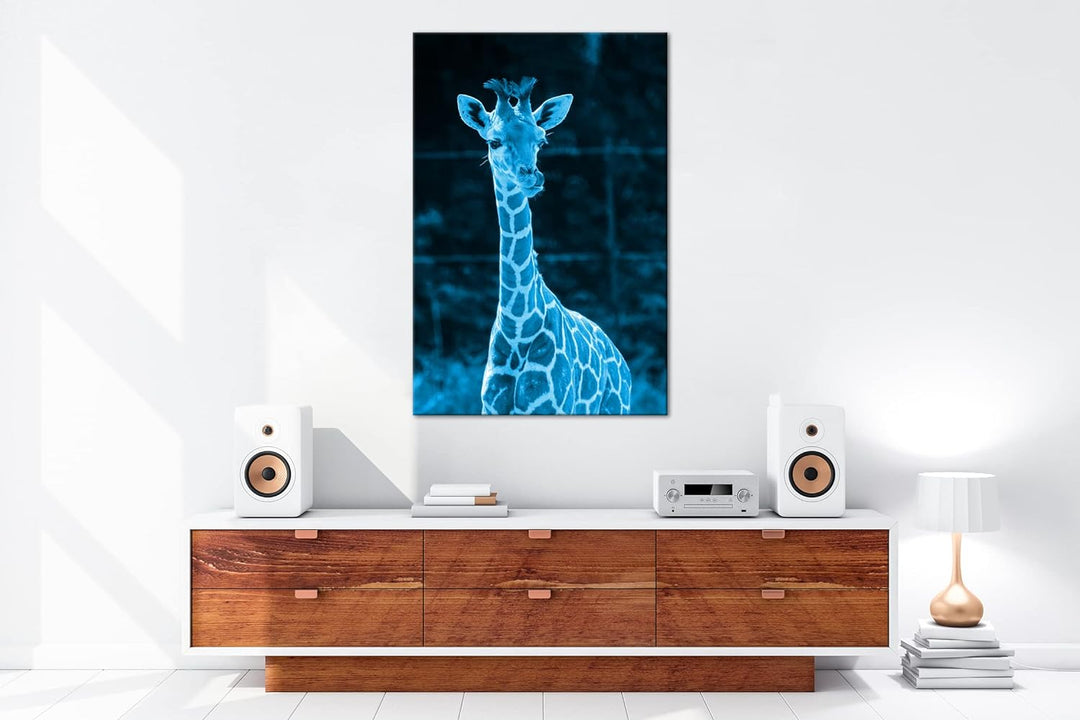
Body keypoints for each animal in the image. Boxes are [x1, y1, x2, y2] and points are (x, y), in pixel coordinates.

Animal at [457, 77, 632, 414]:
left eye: (541, 141)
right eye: (494, 141)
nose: (532, 177)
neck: (518, 327)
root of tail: (620, 359)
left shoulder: (552, 407)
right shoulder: (490, 408)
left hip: (616, 407)